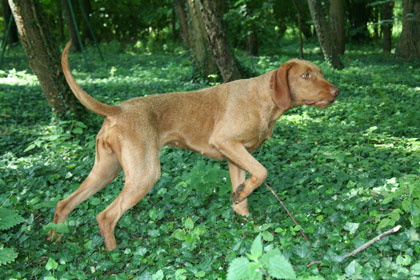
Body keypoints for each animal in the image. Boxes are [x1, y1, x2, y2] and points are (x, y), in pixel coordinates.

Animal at [50, 41, 338, 249]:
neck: (265, 97)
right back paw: (113, 253)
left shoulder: (235, 156)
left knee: (64, 203)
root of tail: (118, 110)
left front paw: (244, 214)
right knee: (106, 215)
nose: (336, 92)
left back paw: (55, 237)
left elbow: (242, 198)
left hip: (106, 171)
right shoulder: (226, 142)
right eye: (306, 75)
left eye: (321, 73)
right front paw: (244, 195)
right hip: (144, 175)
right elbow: (262, 171)